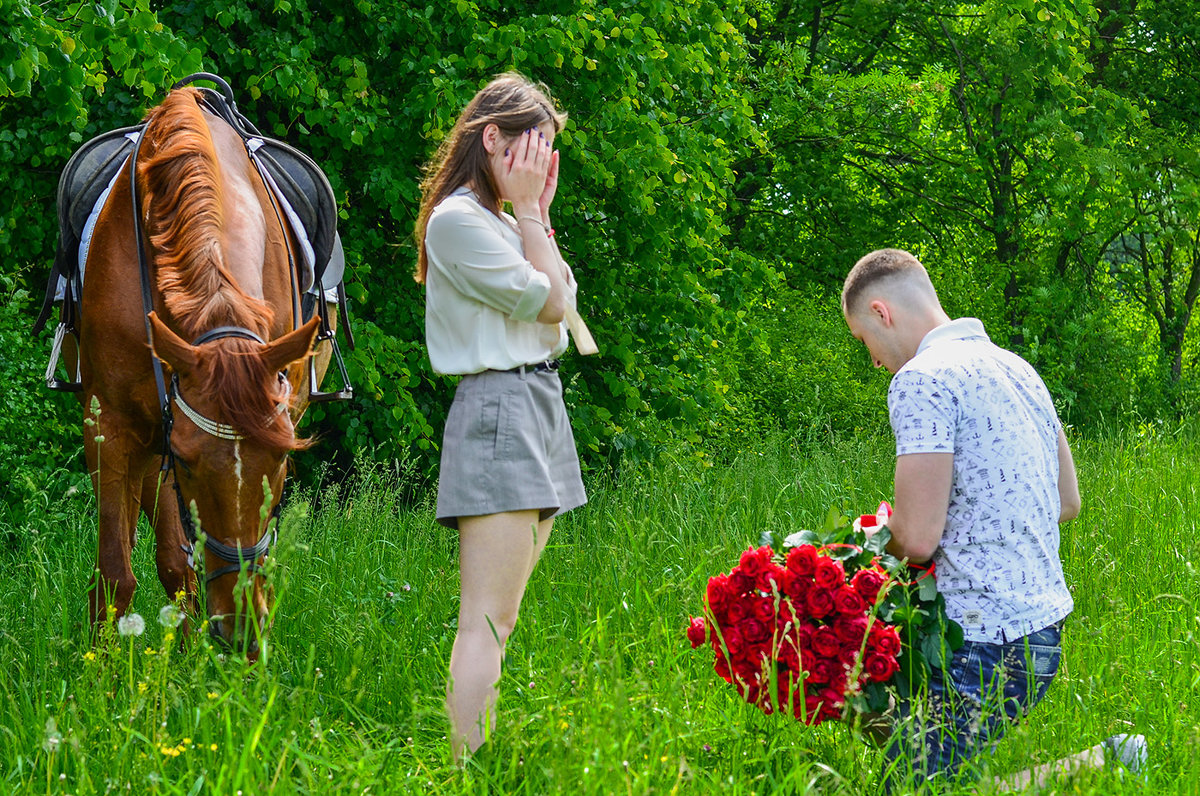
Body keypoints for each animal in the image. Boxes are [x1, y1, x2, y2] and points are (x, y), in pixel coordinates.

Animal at [75, 84, 331, 657]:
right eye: (191, 466)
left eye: (282, 464)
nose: (242, 628)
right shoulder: (113, 427)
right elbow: (114, 573)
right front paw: (99, 673)